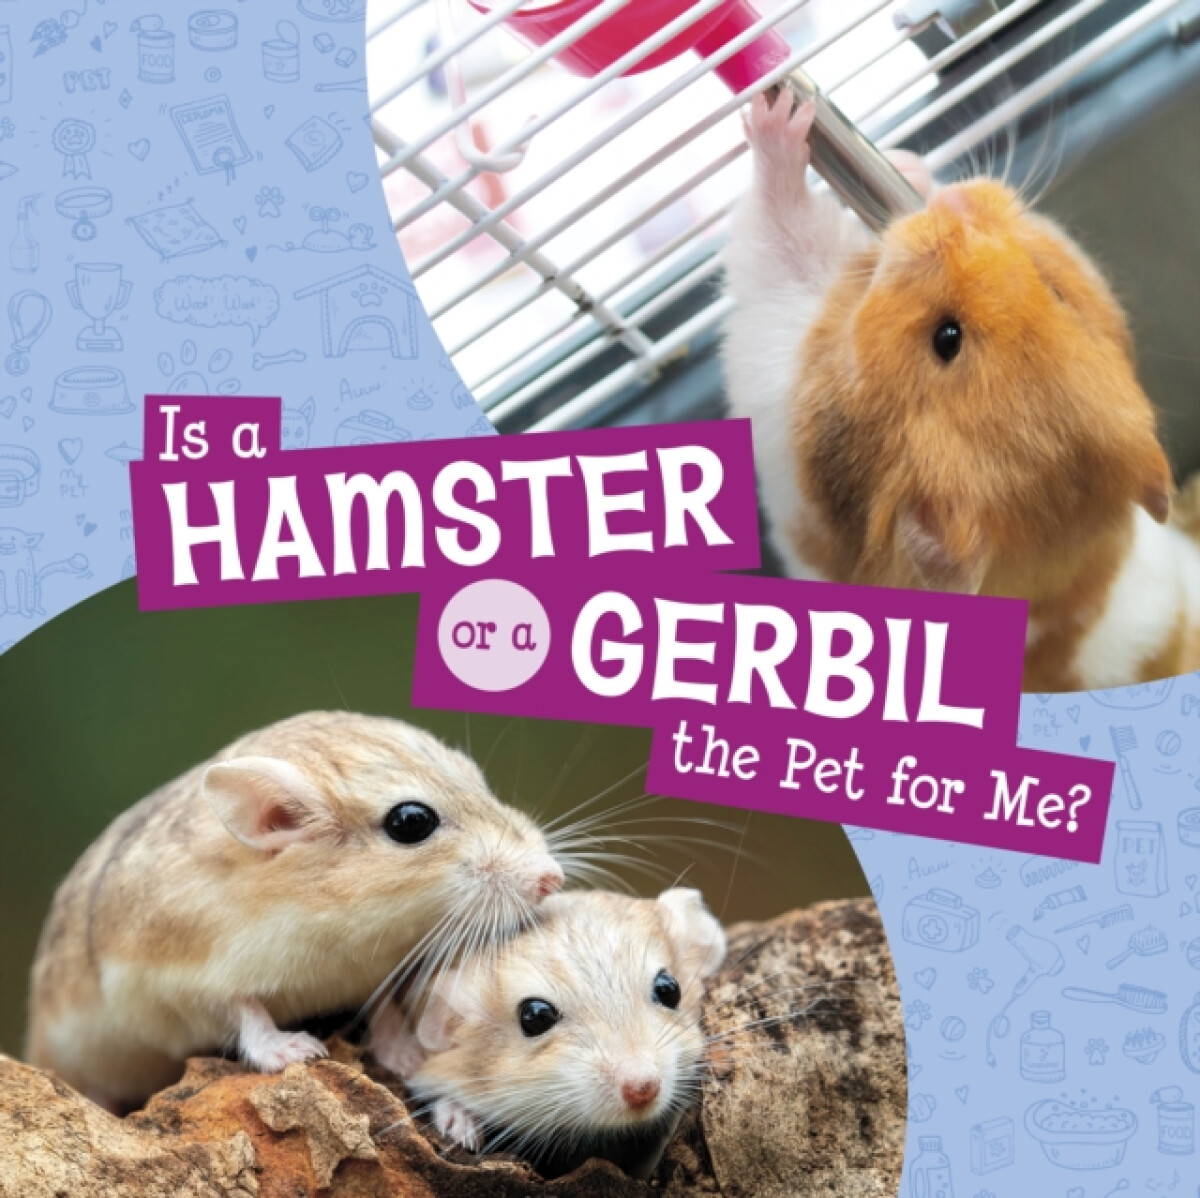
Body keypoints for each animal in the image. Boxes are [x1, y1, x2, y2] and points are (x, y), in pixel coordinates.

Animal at [26, 710, 564, 1110]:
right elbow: (244, 1010)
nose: (552, 879)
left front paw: (407, 1058)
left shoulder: (375, 968)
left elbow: (383, 1006)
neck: (334, 917)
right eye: (410, 822)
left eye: (476, 777)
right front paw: (296, 1051)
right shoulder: (183, 980)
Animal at [724, 93, 1200, 693]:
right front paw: (907, 170)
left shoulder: (783, 386)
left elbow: (779, 241)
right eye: (1055, 289)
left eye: (946, 337)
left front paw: (782, 119)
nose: (958, 206)